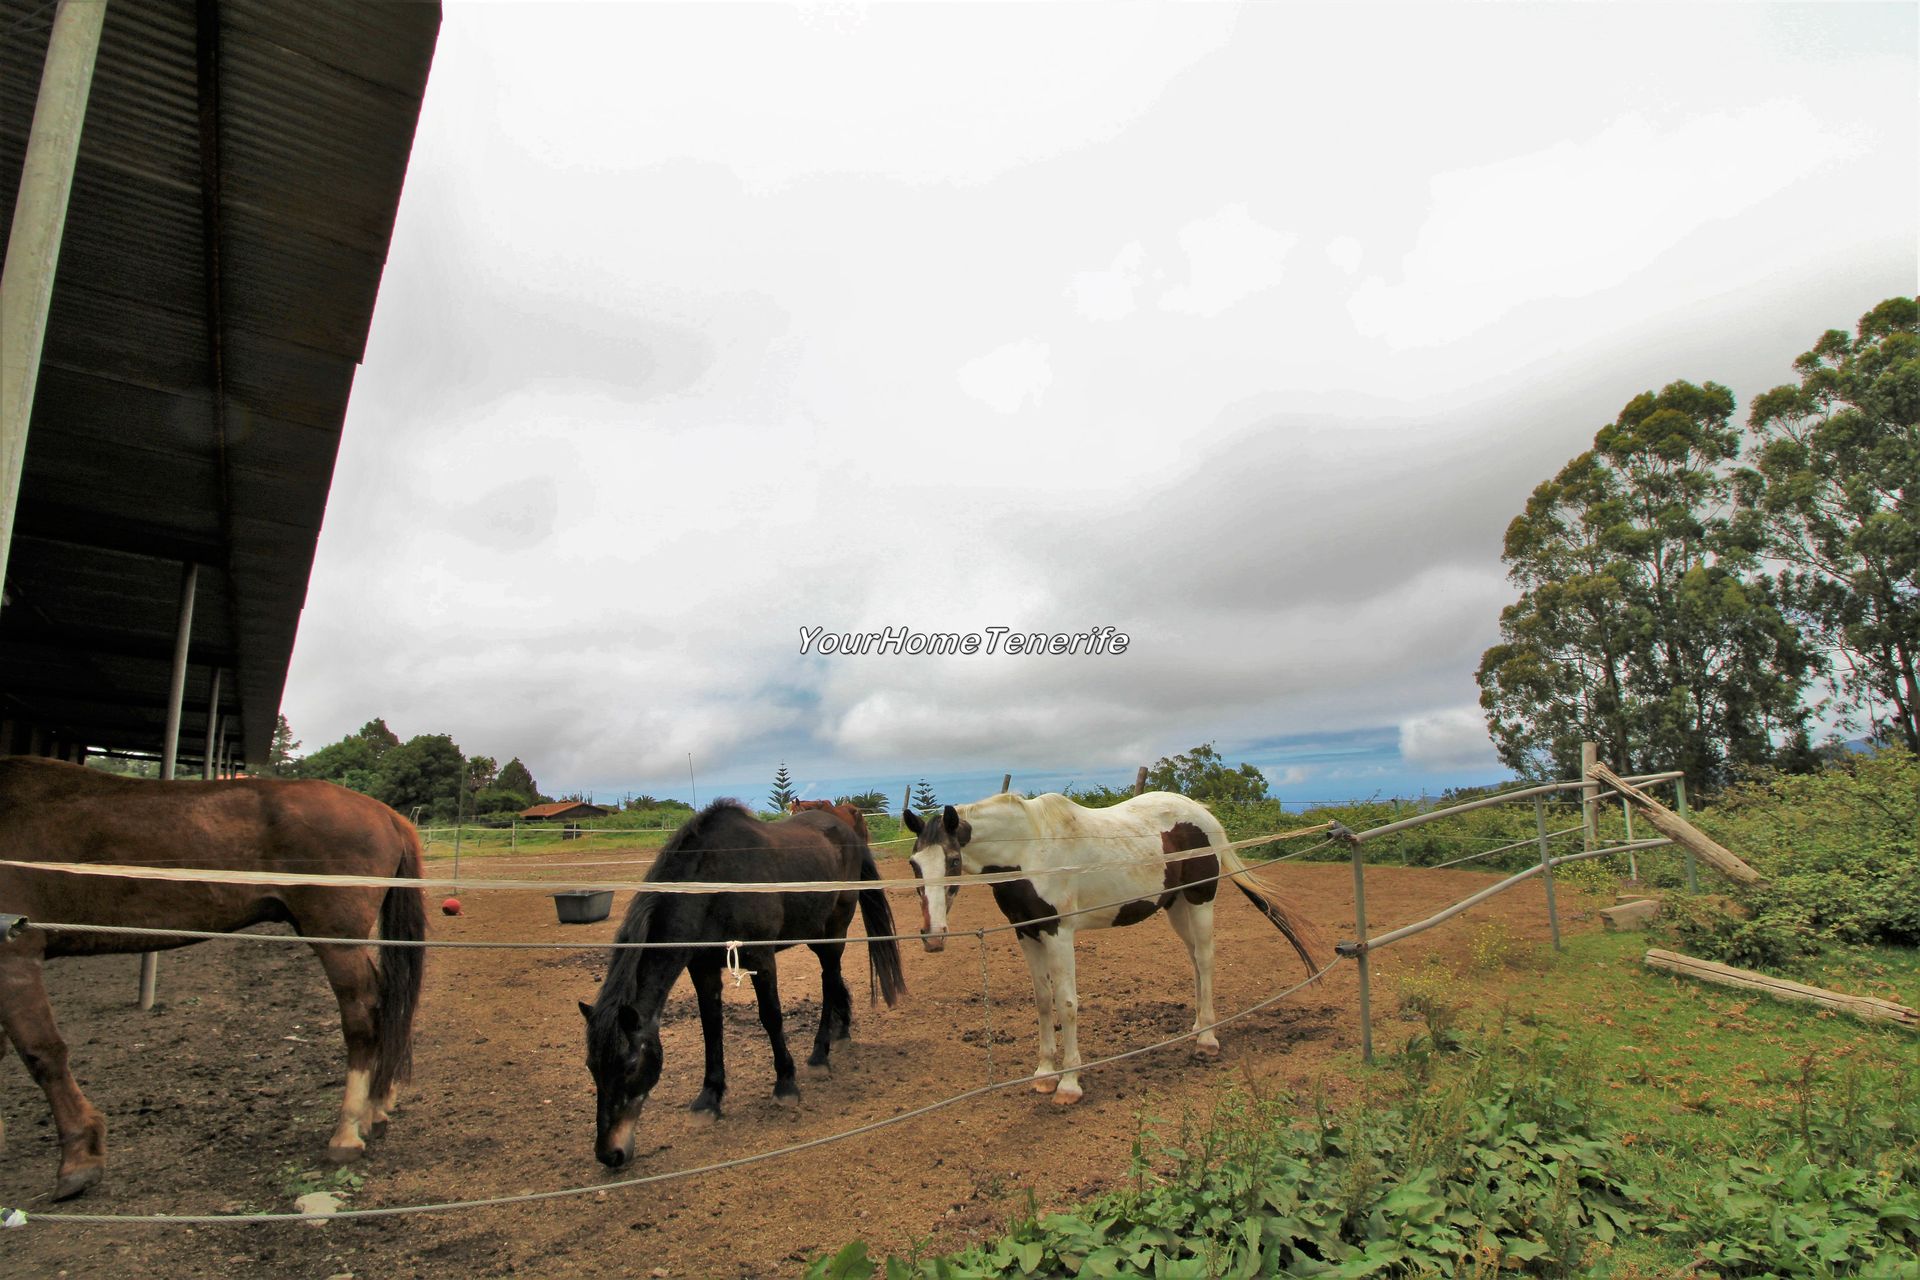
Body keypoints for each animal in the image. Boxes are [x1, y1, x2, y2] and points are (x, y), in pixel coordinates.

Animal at [0, 756, 424, 1197]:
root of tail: (386, 814)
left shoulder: (15, 953)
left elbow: (42, 1054)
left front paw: (79, 1161)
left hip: (337, 943)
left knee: (363, 1018)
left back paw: (347, 1131)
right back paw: (376, 1109)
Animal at [579, 802, 902, 1174]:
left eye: (630, 1066)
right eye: (591, 1067)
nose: (609, 1153)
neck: (714, 884)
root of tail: (847, 829)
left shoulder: (761, 959)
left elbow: (771, 1018)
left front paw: (786, 1085)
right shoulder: (702, 968)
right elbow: (711, 1027)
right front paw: (709, 1099)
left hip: (834, 929)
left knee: (829, 977)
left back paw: (820, 1053)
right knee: (832, 980)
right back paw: (841, 1030)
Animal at [902, 790, 1320, 1105]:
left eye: (952, 860)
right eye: (913, 864)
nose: (933, 935)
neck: (1030, 848)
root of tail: (1201, 813)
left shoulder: (1058, 932)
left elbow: (1067, 1003)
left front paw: (1069, 1084)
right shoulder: (1027, 932)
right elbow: (1042, 1001)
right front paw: (1044, 1073)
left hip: (1201, 900)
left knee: (1205, 959)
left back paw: (1207, 1040)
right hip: (1176, 906)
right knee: (1194, 962)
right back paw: (1198, 1026)